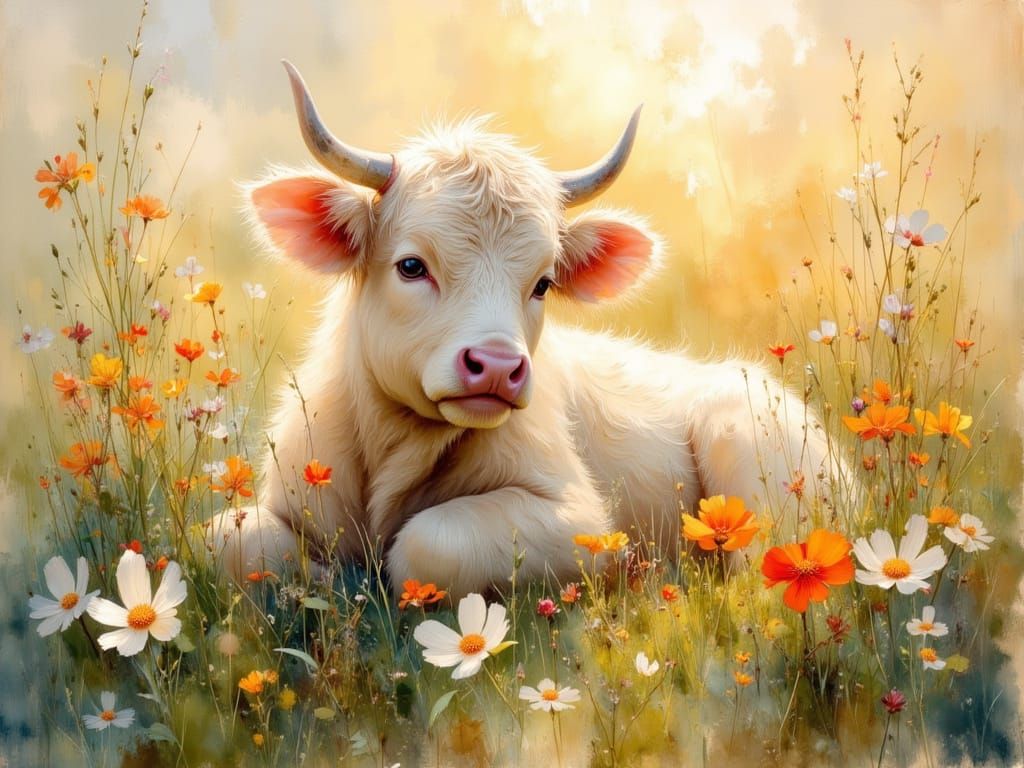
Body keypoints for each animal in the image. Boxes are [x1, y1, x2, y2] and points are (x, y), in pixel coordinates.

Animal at [210, 61, 848, 597]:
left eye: (542, 282)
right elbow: (230, 539)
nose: (496, 366)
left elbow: (427, 543)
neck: (393, 449)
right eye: (411, 266)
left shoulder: (581, 519)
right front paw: (322, 580)